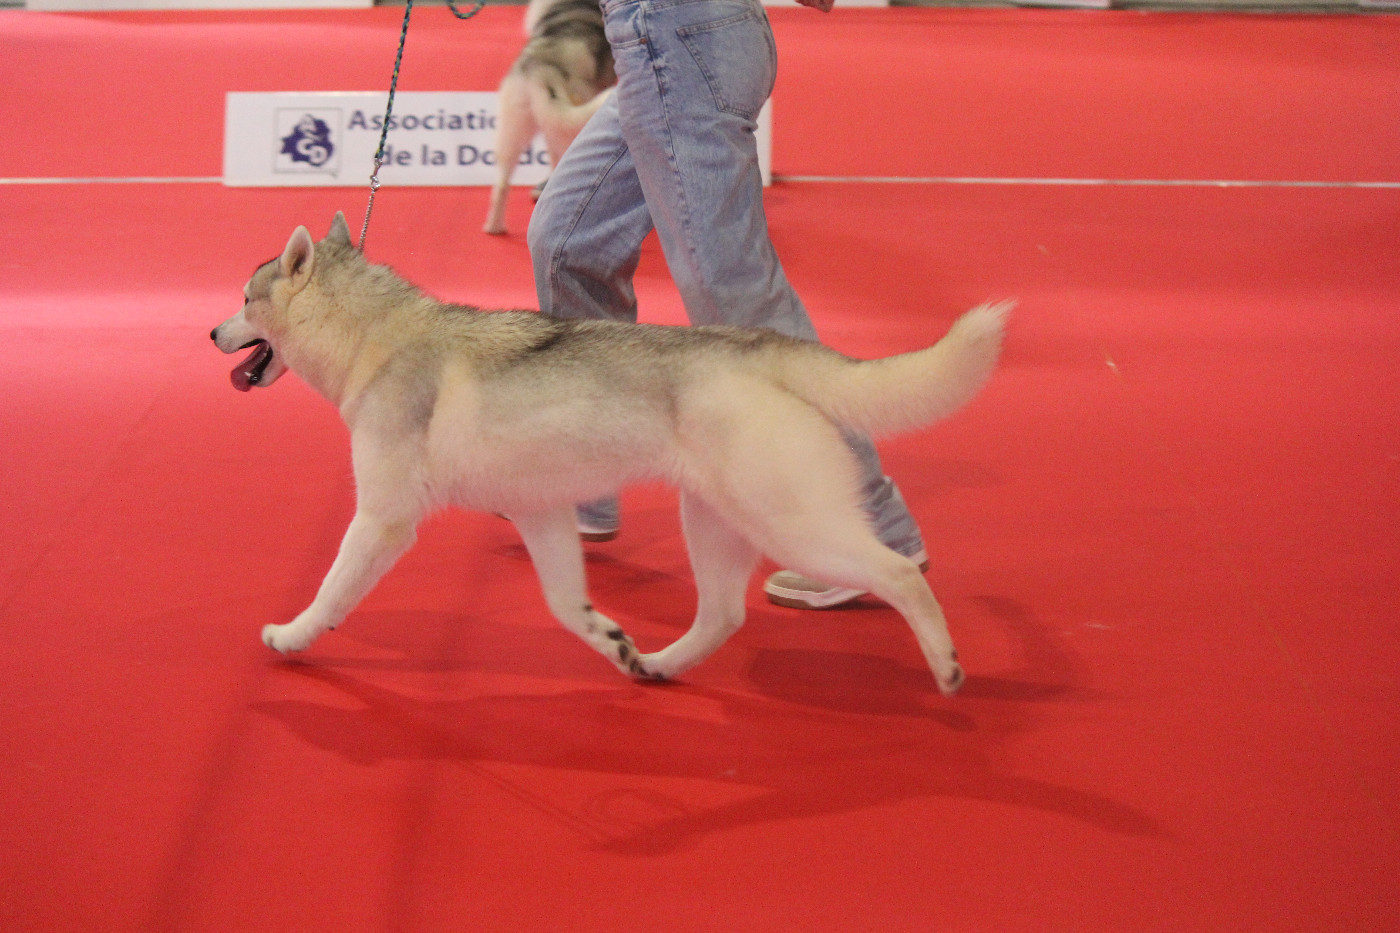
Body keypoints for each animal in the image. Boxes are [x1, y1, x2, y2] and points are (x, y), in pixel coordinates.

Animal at [210, 213, 1008, 696]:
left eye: (245, 299)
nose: (212, 333)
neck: (375, 337)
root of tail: (761, 347)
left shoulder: (382, 520)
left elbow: (332, 589)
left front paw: (293, 635)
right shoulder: (542, 516)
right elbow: (568, 607)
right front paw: (612, 640)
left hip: (795, 527)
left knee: (899, 574)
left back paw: (945, 665)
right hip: (714, 523)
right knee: (723, 616)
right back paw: (655, 663)